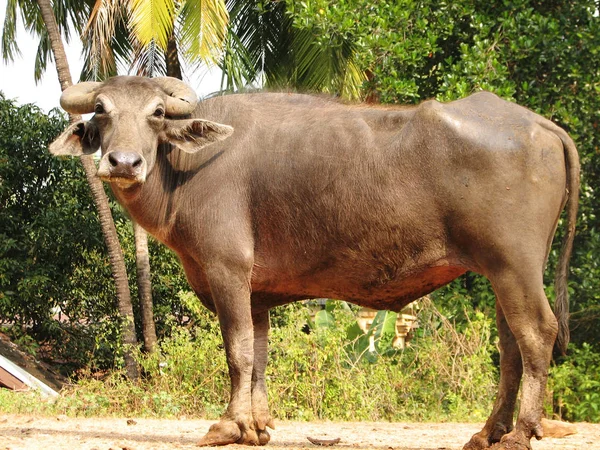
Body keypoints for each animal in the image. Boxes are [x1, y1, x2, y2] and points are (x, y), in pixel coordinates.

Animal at [50, 77, 576, 450]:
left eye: (157, 113)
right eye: (103, 110)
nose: (123, 162)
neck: (184, 171)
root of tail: (540, 125)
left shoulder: (226, 270)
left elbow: (237, 353)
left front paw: (229, 425)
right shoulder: (256, 293)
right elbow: (258, 355)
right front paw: (257, 426)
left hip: (513, 266)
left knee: (536, 335)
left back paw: (520, 433)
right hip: (501, 273)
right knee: (510, 347)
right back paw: (488, 433)